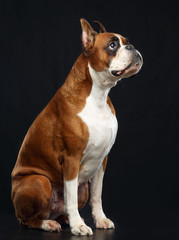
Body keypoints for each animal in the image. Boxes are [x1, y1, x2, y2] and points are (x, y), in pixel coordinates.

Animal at [11, 18, 143, 236]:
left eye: (127, 42)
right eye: (112, 45)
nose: (132, 47)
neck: (98, 94)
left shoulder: (102, 161)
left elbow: (97, 196)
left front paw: (100, 220)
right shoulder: (71, 160)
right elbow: (70, 198)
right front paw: (78, 226)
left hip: (82, 189)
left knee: (62, 208)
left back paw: (66, 219)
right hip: (39, 181)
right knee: (27, 220)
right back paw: (49, 223)